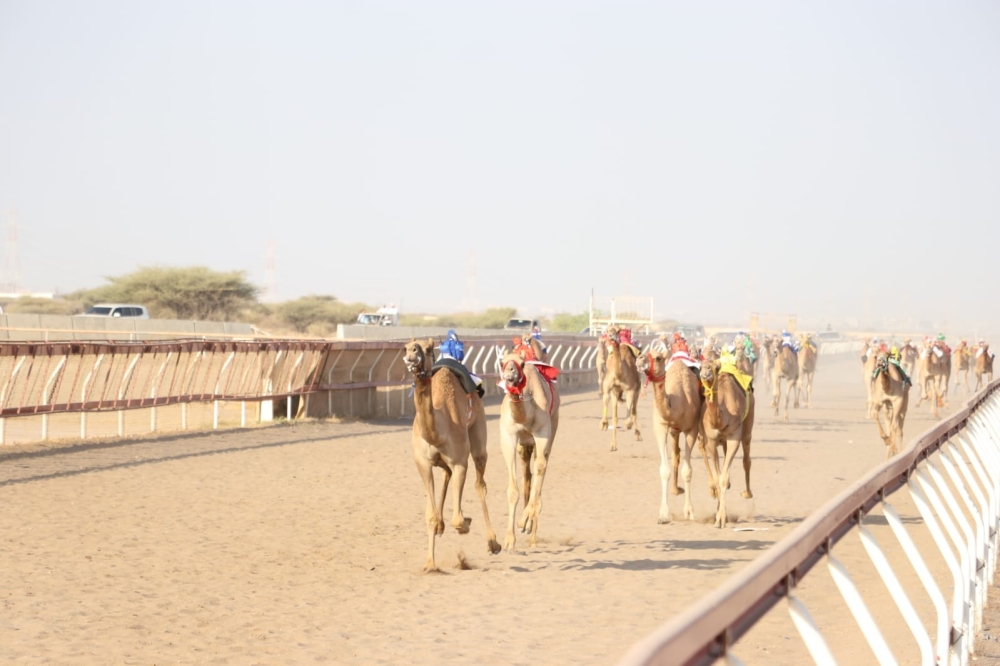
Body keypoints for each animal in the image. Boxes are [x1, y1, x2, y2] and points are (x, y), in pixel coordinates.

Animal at [403, 339, 501, 572]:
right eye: (405, 347)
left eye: (428, 349)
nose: (412, 353)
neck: (438, 430)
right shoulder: (422, 463)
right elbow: (429, 515)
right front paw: (430, 564)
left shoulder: (460, 462)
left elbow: (458, 518)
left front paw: (466, 523)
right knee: (446, 474)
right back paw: (440, 526)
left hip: (478, 434)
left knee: (480, 483)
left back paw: (493, 543)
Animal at [497, 351, 559, 550]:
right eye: (501, 362)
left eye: (521, 364)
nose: (510, 373)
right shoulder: (508, 436)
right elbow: (513, 490)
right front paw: (509, 540)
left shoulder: (542, 432)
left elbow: (540, 467)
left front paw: (524, 521)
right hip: (524, 446)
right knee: (527, 476)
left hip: (552, 428)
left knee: (541, 466)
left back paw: (531, 532)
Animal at [635, 344, 706, 523]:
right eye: (642, 353)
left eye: (658, 357)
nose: (639, 358)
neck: (678, 403)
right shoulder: (660, 427)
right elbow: (664, 470)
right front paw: (664, 514)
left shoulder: (691, 430)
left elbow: (687, 471)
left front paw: (689, 511)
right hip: (674, 431)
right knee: (676, 455)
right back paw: (675, 490)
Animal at [699, 357, 755, 528]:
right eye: (700, 367)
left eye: (714, 368)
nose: (705, 373)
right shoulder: (711, 441)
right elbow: (719, 479)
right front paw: (718, 518)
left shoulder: (733, 437)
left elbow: (723, 478)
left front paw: (721, 520)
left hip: (748, 424)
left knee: (746, 458)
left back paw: (747, 493)